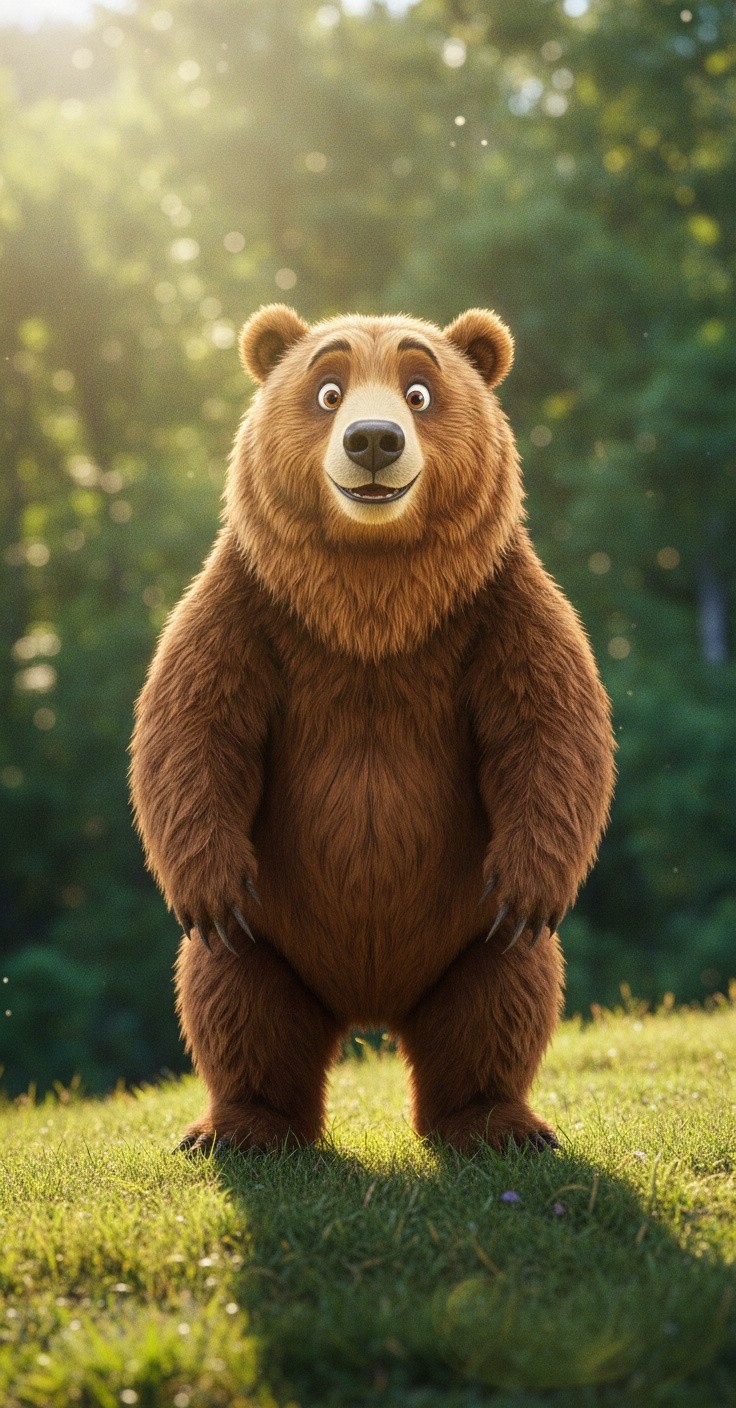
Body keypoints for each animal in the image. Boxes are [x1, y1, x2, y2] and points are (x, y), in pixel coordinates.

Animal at [129, 303, 615, 1155]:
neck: (371, 599)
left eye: (420, 390)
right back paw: (241, 1129)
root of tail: (369, 1010)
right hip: (275, 940)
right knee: (234, 999)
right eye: (328, 389)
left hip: (464, 938)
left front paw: (530, 885)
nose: (374, 439)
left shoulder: (493, 609)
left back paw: (496, 1124)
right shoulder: (251, 608)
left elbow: (551, 728)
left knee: (502, 995)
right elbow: (193, 728)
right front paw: (209, 888)